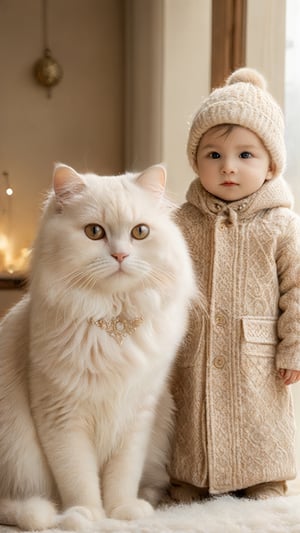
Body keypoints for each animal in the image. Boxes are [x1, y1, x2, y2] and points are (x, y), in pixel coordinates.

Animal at [0, 164, 195, 528]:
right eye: (94, 232)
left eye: (140, 232)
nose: (120, 255)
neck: (112, 321)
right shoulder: (61, 416)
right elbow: (78, 478)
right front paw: (86, 515)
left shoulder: (138, 415)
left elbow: (122, 476)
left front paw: (120, 512)